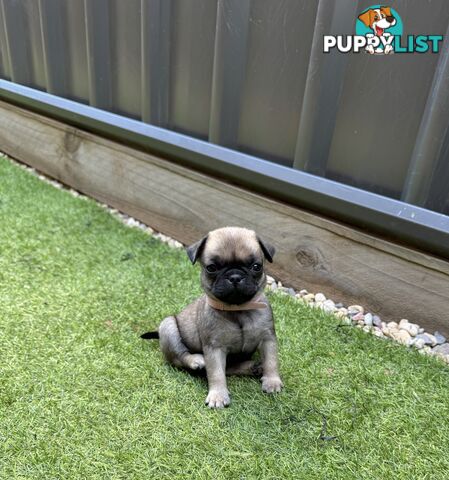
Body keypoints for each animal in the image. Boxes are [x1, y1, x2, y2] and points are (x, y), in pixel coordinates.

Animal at [140, 227, 282, 406]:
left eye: (256, 266)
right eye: (211, 268)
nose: (235, 277)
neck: (238, 309)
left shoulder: (267, 338)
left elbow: (271, 360)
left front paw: (272, 381)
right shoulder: (214, 348)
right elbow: (216, 373)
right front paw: (218, 395)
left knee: (229, 368)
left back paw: (253, 367)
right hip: (168, 326)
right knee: (180, 358)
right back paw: (197, 361)